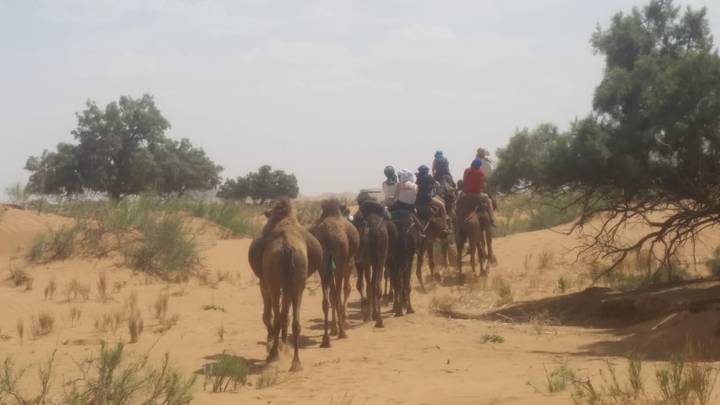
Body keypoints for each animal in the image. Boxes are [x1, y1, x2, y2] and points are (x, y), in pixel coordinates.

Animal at [248, 199, 319, 372]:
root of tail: (288, 247)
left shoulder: (264, 283)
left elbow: (268, 315)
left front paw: (272, 345)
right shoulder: (288, 286)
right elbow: (285, 314)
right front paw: (284, 346)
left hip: (273, 281)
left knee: (276, 317)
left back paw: (273, 355)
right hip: (299, 280)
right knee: (295, 321)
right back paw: (296, 363)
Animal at [311, 199, 359, 347]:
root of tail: (327, 236)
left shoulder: (329, 268)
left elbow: (332, 297)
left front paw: (333, 328)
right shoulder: (348, 264)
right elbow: (347, 288)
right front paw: (344, 321)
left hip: (322, 265)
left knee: (326, 301)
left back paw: (326, 338)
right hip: (340, 263)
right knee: (337, 295)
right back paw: (342, 332)